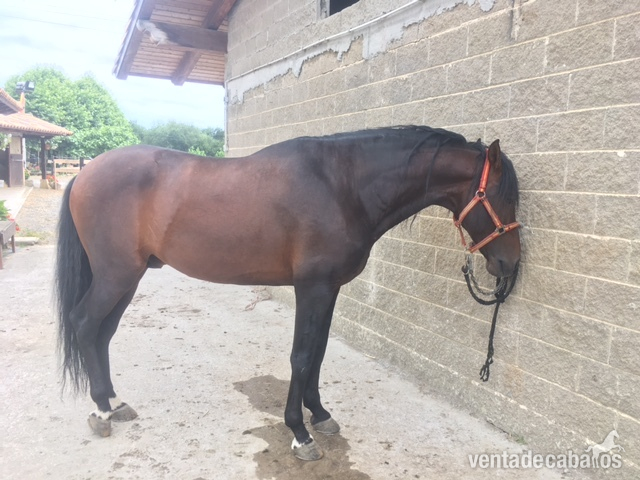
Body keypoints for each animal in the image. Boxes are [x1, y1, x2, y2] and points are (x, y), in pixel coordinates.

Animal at [55, 126, 521, 461]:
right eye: (502, 196)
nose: (510, 266)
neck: (342, 185)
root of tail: (82, 174)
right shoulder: (311, 288)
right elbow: (301, 355)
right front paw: (299, 433)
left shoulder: (329, 289)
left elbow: (318, 352)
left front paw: (321, 415)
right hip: (117, 275)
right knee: (85, 324)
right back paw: (101, 411)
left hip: (127, 278)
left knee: (102, 333)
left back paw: (114, 402)